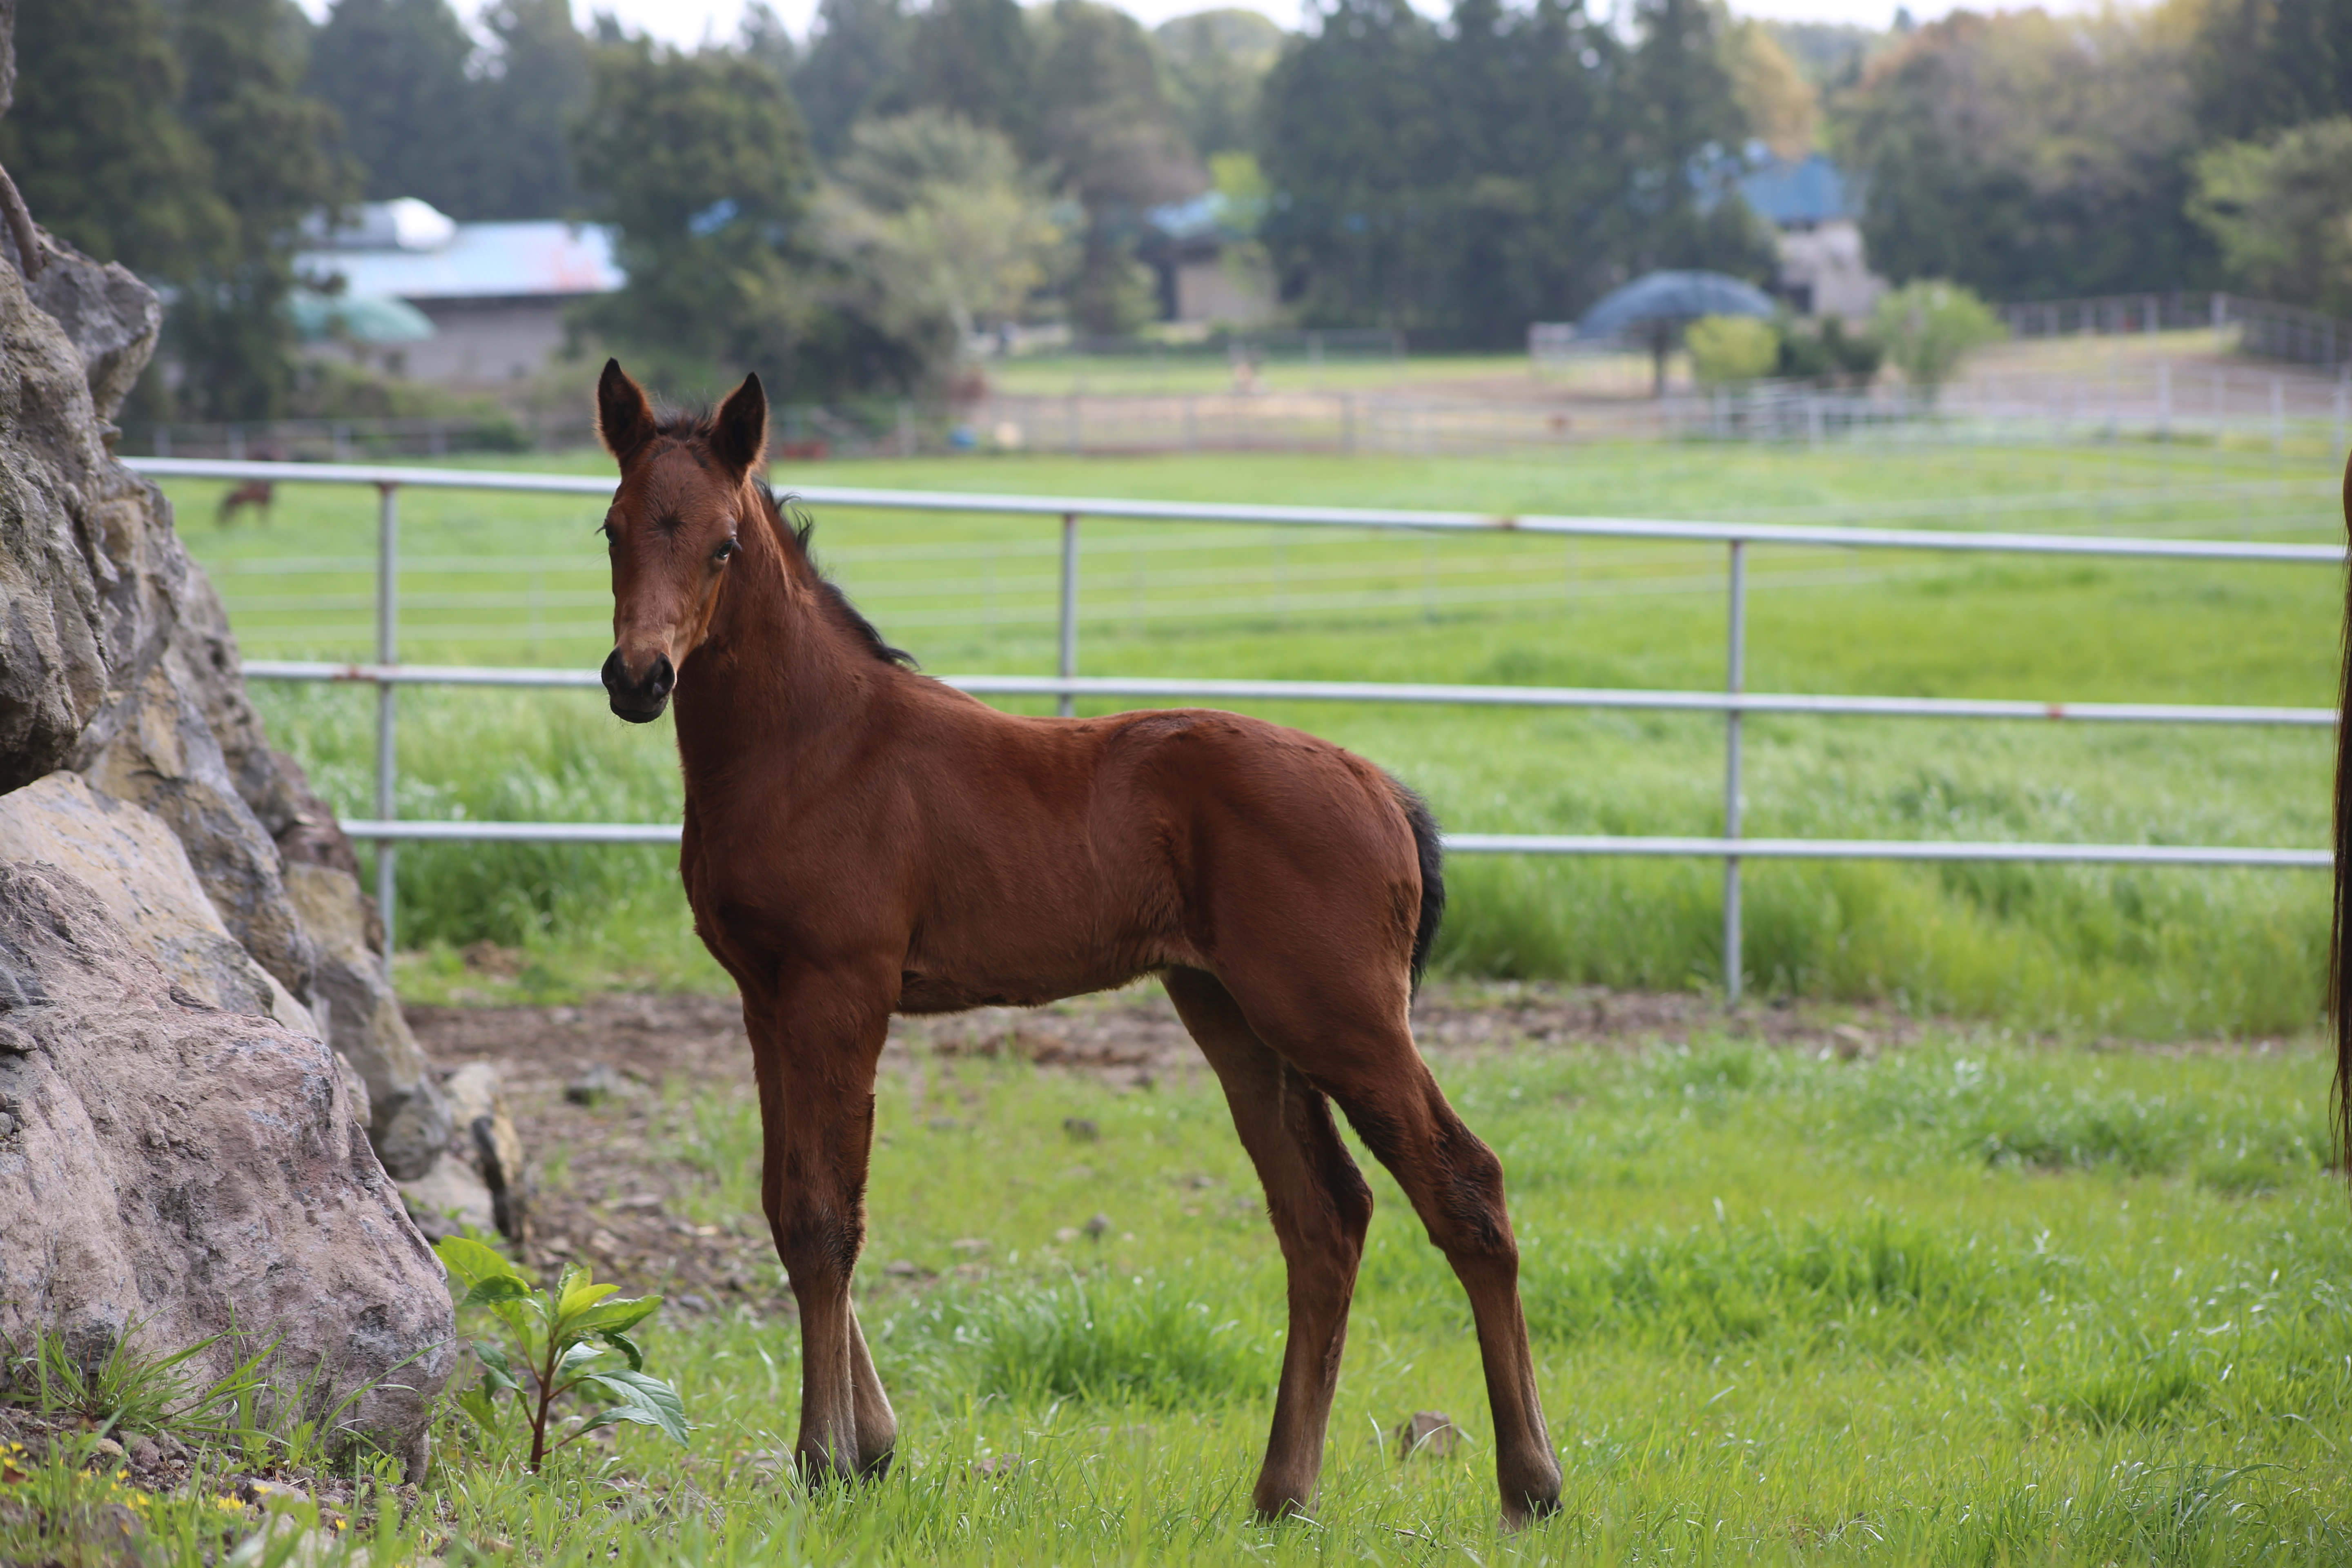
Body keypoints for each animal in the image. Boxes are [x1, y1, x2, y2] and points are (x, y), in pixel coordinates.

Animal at [597, 362, 1571, 1523]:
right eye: (612, 528)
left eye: (724, 544)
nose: (637, 678)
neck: (815, 744)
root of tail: (1382, 788)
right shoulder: (764, 996)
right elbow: (785, 1207)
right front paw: (870, 1443)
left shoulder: (843, 990)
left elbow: (829, 1215)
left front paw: (827, 1460)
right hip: (1235, 1017)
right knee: (1323, 1219)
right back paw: (1281, 1491)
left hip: (1339, 1016)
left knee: (1465, 1187)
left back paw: (1530, 1482)